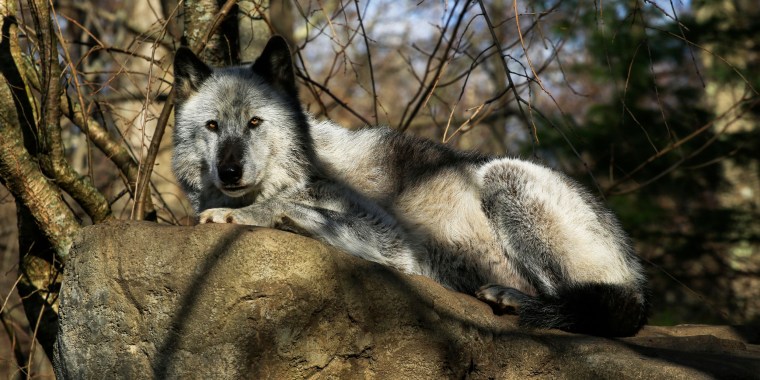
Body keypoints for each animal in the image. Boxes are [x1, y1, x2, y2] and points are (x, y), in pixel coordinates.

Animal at [172, 35, 648, 336]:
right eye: (213, 126)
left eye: (255, 122)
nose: (229, 172)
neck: (305, 168)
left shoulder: (397, 245)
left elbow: (287, 207)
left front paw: (240, 213)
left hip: (504, 175)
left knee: (595, 305)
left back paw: (515, 300)